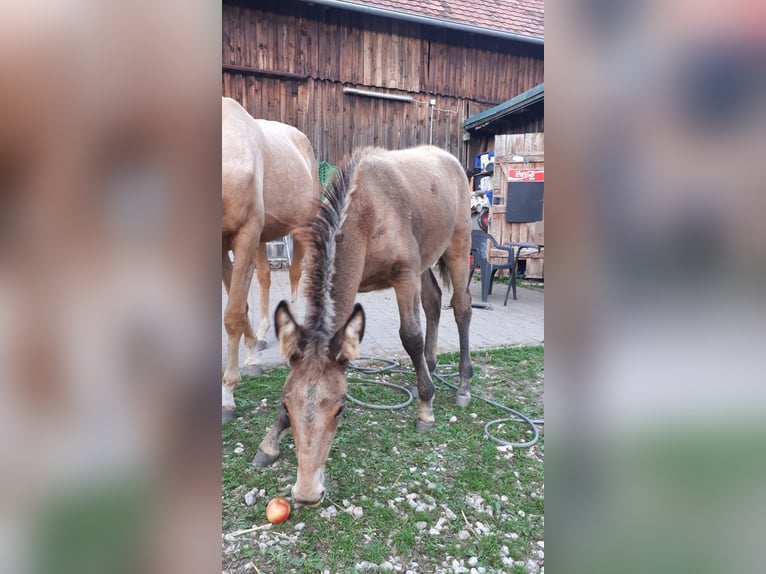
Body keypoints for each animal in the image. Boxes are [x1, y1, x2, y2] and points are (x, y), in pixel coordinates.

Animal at [220, 98, 320, 424]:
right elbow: (240, 305)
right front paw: (252, 355)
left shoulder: (244, 235)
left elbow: (233, 313)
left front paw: (227, 394)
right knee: (264, 277)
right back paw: (263, 335)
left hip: (300, 229)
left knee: (296, 274)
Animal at [255, 146, 476, 506]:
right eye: (286, 404)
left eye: (341, 408)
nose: (307, 491)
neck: (367, 212)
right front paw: (270, 442)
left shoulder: (404, 274)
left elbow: (410, 336)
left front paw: (425, 410)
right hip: (426, 263)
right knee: (433, 302)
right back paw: (427, 371)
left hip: (457, 247)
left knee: (461, 307)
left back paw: (462, 384)